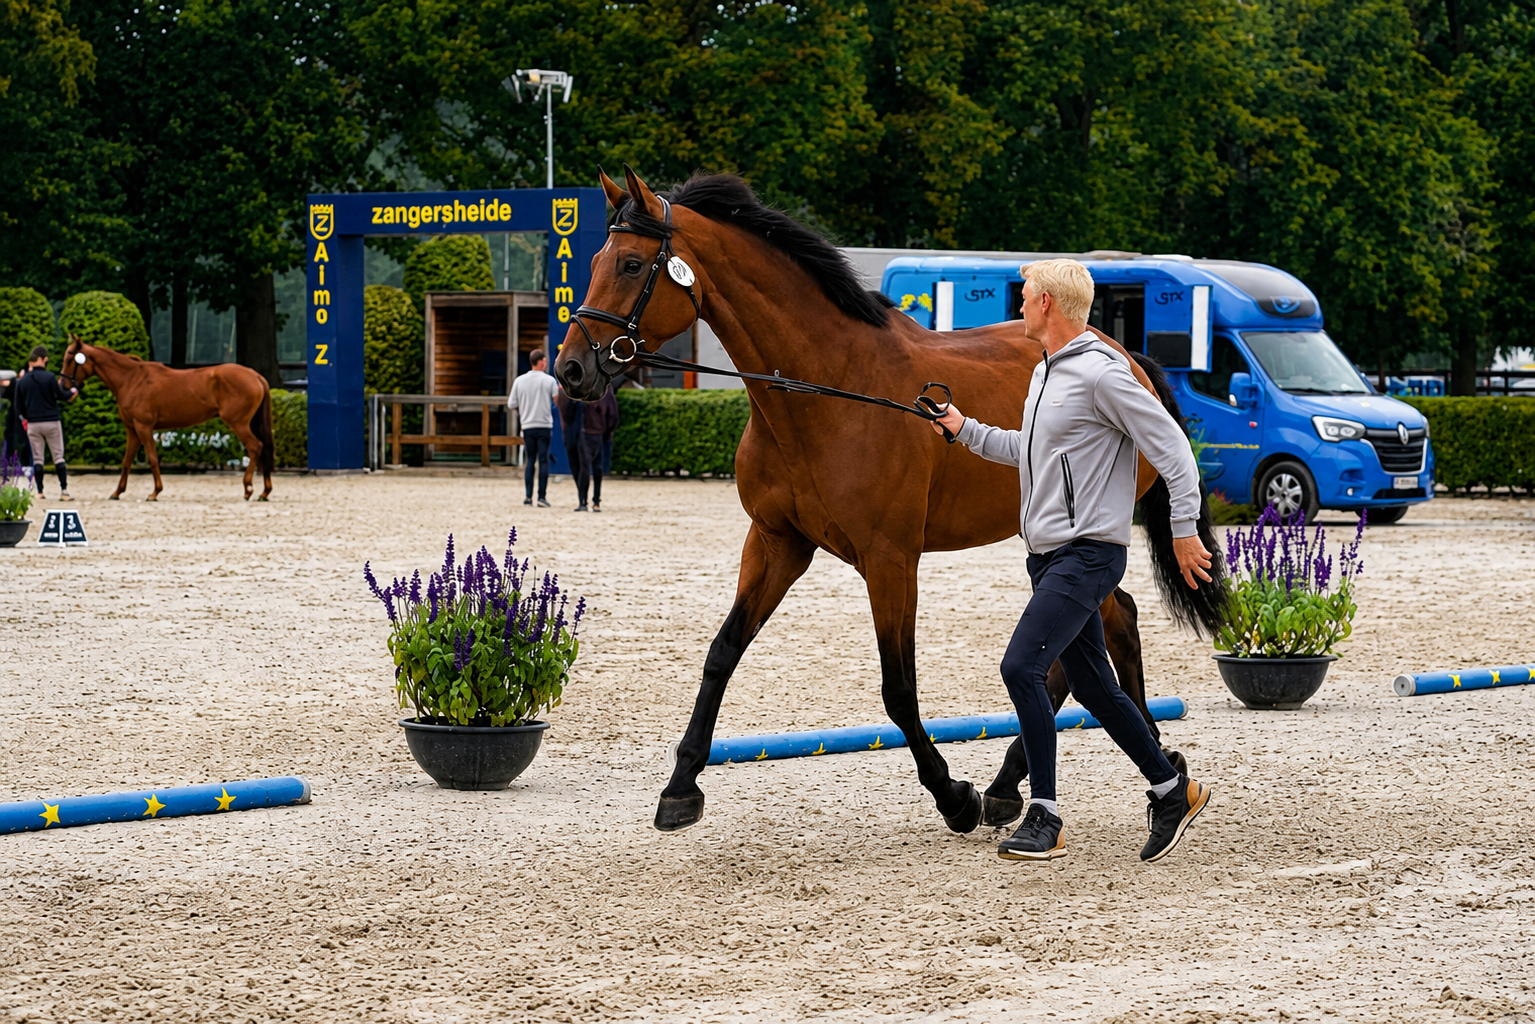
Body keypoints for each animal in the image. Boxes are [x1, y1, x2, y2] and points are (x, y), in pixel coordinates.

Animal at [60, 335, 275, 501]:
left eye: (70, 359)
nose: (62, 385)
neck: (131, 379)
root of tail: (255, 375)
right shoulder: (132, 430)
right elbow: (126, 461)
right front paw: (117, 492)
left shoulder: (144, 427)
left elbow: (153, 458)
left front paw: (155, 492)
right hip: (250, 423)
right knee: (262, 448)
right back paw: (264, 492)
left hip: (238, 423)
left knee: (255, 447)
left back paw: (248, 489)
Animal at [557, 168, 1229, 834]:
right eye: (594, 260)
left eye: (633, 265)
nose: (571, 370)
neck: (828, 390)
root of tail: (1130, 359)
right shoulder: (776, 544)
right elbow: (722, 653)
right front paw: (680, 787)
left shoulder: (890, 559)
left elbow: (898, 687)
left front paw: (953, 796)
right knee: (1107, 626)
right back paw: (1066, 772)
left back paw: (1049, 777)